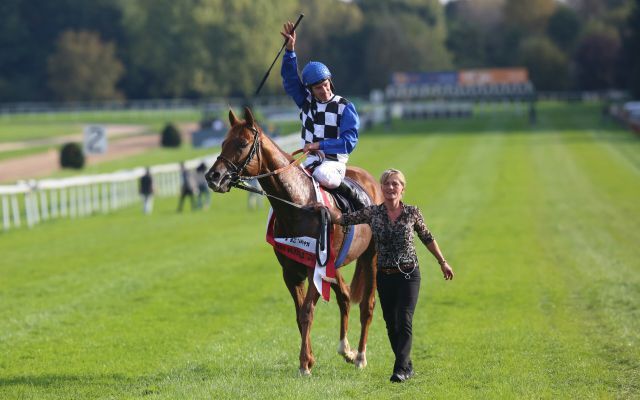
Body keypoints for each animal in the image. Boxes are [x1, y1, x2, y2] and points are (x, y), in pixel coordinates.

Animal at [208, 106, 382, 376]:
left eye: (242, 143)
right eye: (223, 142)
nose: (213, 176)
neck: (298, 204)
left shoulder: (315, 269)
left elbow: (308, 312)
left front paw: (304, 364)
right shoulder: (291, 271)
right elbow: (299, 314)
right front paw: (309, 359)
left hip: (370, 255)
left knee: (367, 305)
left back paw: (361, 356)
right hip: (334, 262)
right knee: (344, 295)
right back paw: (347, 349)